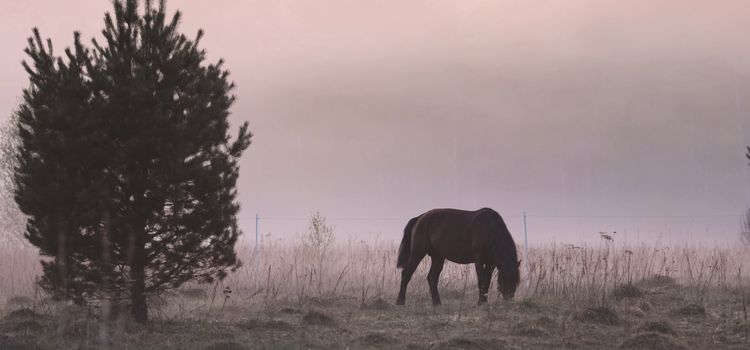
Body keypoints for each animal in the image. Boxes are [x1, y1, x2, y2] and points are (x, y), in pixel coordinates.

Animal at [394, 208, 524, 306]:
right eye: (504, 278)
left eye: (516, 279)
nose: (509, 298)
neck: (489, 229)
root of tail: (420, 217)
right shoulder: (478, 260)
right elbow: (481, 280)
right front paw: (480, 303)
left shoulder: (490, 263)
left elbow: (487, 281)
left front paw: (484, 301)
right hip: (417, 253)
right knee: (406, 274)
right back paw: (400, 302)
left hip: (438, 257)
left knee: (432, 278)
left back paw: (437, 303)